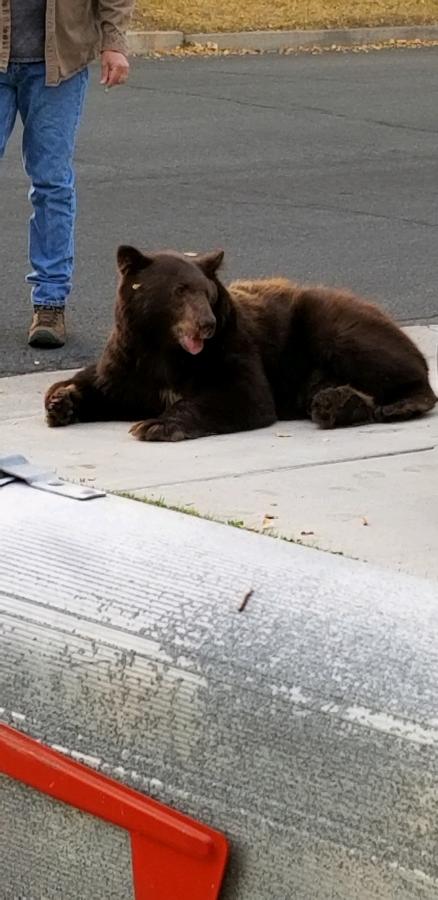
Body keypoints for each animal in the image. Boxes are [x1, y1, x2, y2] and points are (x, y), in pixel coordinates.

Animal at [45, 245, 437, 440]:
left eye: (207, 291)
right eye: (179, 290)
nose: (206, 324)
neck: (166, 349)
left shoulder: (230, 348)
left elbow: (242, 395)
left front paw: (154, 425)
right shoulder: (130, 360)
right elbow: (103, 385)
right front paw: (61, 402)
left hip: (329, 319)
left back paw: (398, 404)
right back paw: (335, 404)